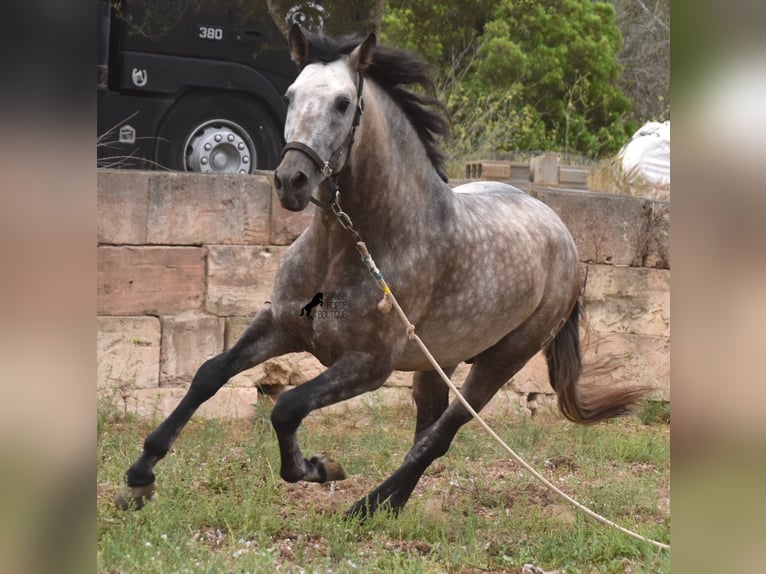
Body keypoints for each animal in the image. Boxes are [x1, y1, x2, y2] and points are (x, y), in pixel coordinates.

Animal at [120, 27, 648, 520]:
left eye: (342, 103)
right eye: (290, 95)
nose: (291, 181)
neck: (354, 245)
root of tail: (564, 236)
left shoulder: (369, 365)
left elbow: (287, 407)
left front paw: (319, 468)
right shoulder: (281, 326)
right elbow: (209, 375)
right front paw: (141, 476)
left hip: (502, 361)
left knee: (439, 437)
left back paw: (366, 508)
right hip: (438, 361)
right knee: (427, 428)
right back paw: (391, 507)